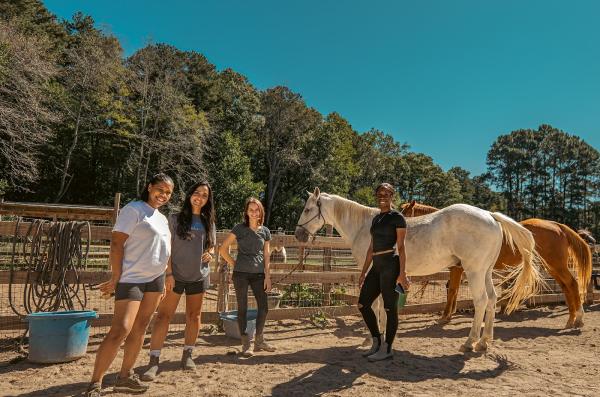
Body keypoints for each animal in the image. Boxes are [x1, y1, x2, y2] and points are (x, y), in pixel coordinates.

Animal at [292, 187, 548, 352]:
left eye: (307, 209)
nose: (298, 235)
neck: (366, 226)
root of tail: (490, 216)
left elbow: (375, 306)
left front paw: (369, 339)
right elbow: (383, 306)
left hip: (474, 272)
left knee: (481, 301)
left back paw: (470, 342)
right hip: (485, 272)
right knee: (493, 299)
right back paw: (484, 342)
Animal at [400, 201, 592, 328]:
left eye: (404, 214)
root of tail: (557, 225)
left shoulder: (457, 268)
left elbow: (452, 290)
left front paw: (445, 316)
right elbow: (452, 290)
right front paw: (449, 314)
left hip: (557, 265)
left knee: (572, 284)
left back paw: (578, 318)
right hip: (552, 268)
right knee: (566, 287)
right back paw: (572, 318)